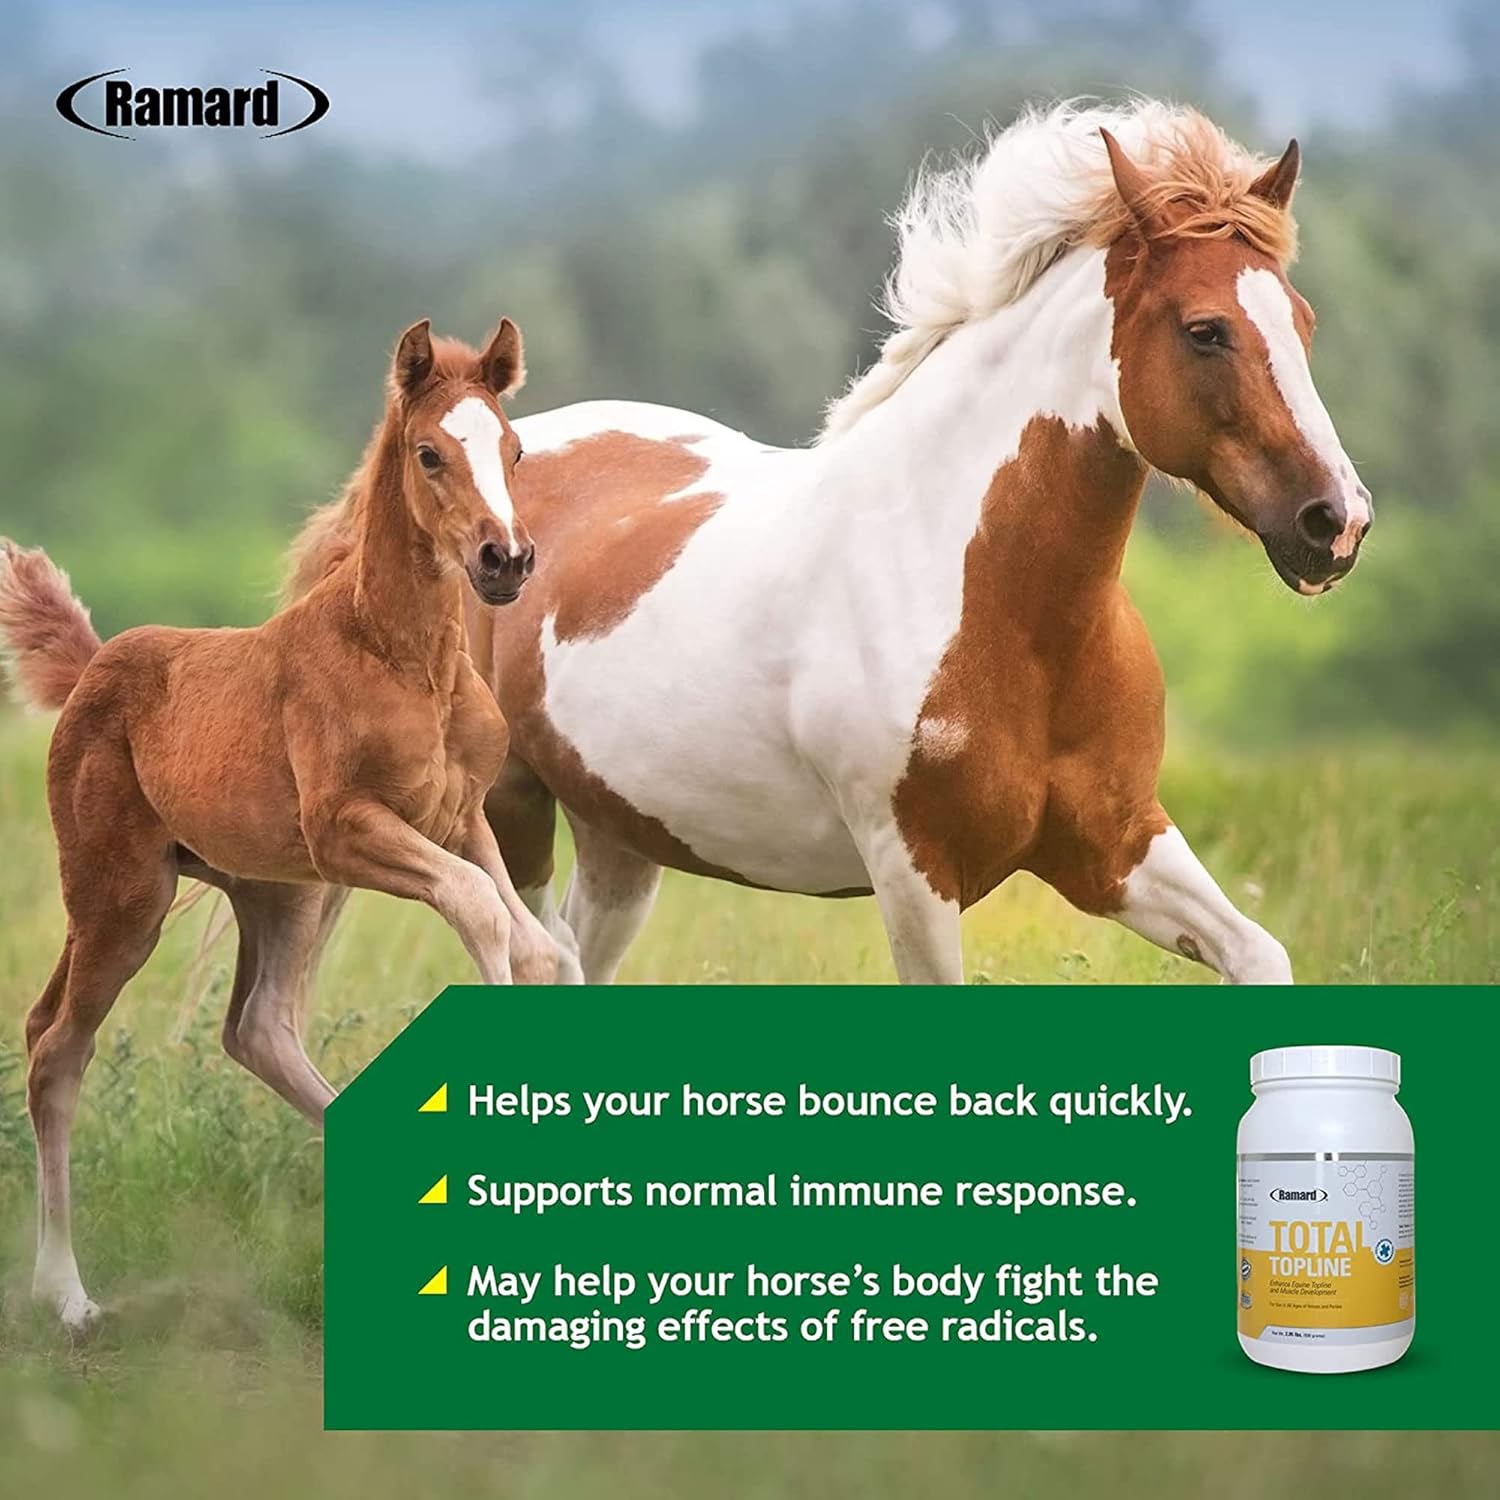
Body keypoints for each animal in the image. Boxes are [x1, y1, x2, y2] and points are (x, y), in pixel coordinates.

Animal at [0, 316, 558, 1330]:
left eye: (513, 449)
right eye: (429, 454)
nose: (506, 561)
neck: (404, 658)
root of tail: (96, 667)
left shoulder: (459, 819)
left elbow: (533, 942)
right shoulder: (349, 826)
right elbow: (479, 910)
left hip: (278, 892)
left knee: (254, 1029)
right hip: (120, 896)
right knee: (58, 1045)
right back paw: (66, 1294)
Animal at [288, 100, 1372, 989]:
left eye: (1305, 320)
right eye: (1205, 330)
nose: (1337, 522)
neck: (1003, 611)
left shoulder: (1115, 846)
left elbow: (1259, 956)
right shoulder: (915, 872)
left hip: (619, 839)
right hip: (510, 813)